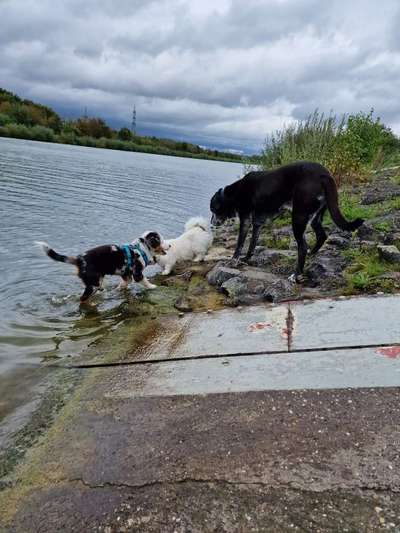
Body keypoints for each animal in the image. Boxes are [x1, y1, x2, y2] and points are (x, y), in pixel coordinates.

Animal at [37, 231, 167, 302]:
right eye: (161, 240)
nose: (169, 245)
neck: (141, 249)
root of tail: (79, 259)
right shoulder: (137, 274)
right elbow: (145, 281)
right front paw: (153, 287)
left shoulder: (126, 275)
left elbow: (123, 284)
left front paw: (119, 289)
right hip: (94, 284)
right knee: (82, 299)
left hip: (96, 283)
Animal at [211, 159, 364, 280]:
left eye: (213, 209)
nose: (211, 224)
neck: (234, 193)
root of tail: (324, 174)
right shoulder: (257, 223)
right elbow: (252, 244)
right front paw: (247, 258)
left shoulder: (245, 221)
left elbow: (239, 244)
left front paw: (233, 260)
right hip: (315, 217)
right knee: (321, 235)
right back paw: (312, 255)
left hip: (298, 217)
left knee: (303, 247)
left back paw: (296, 275)